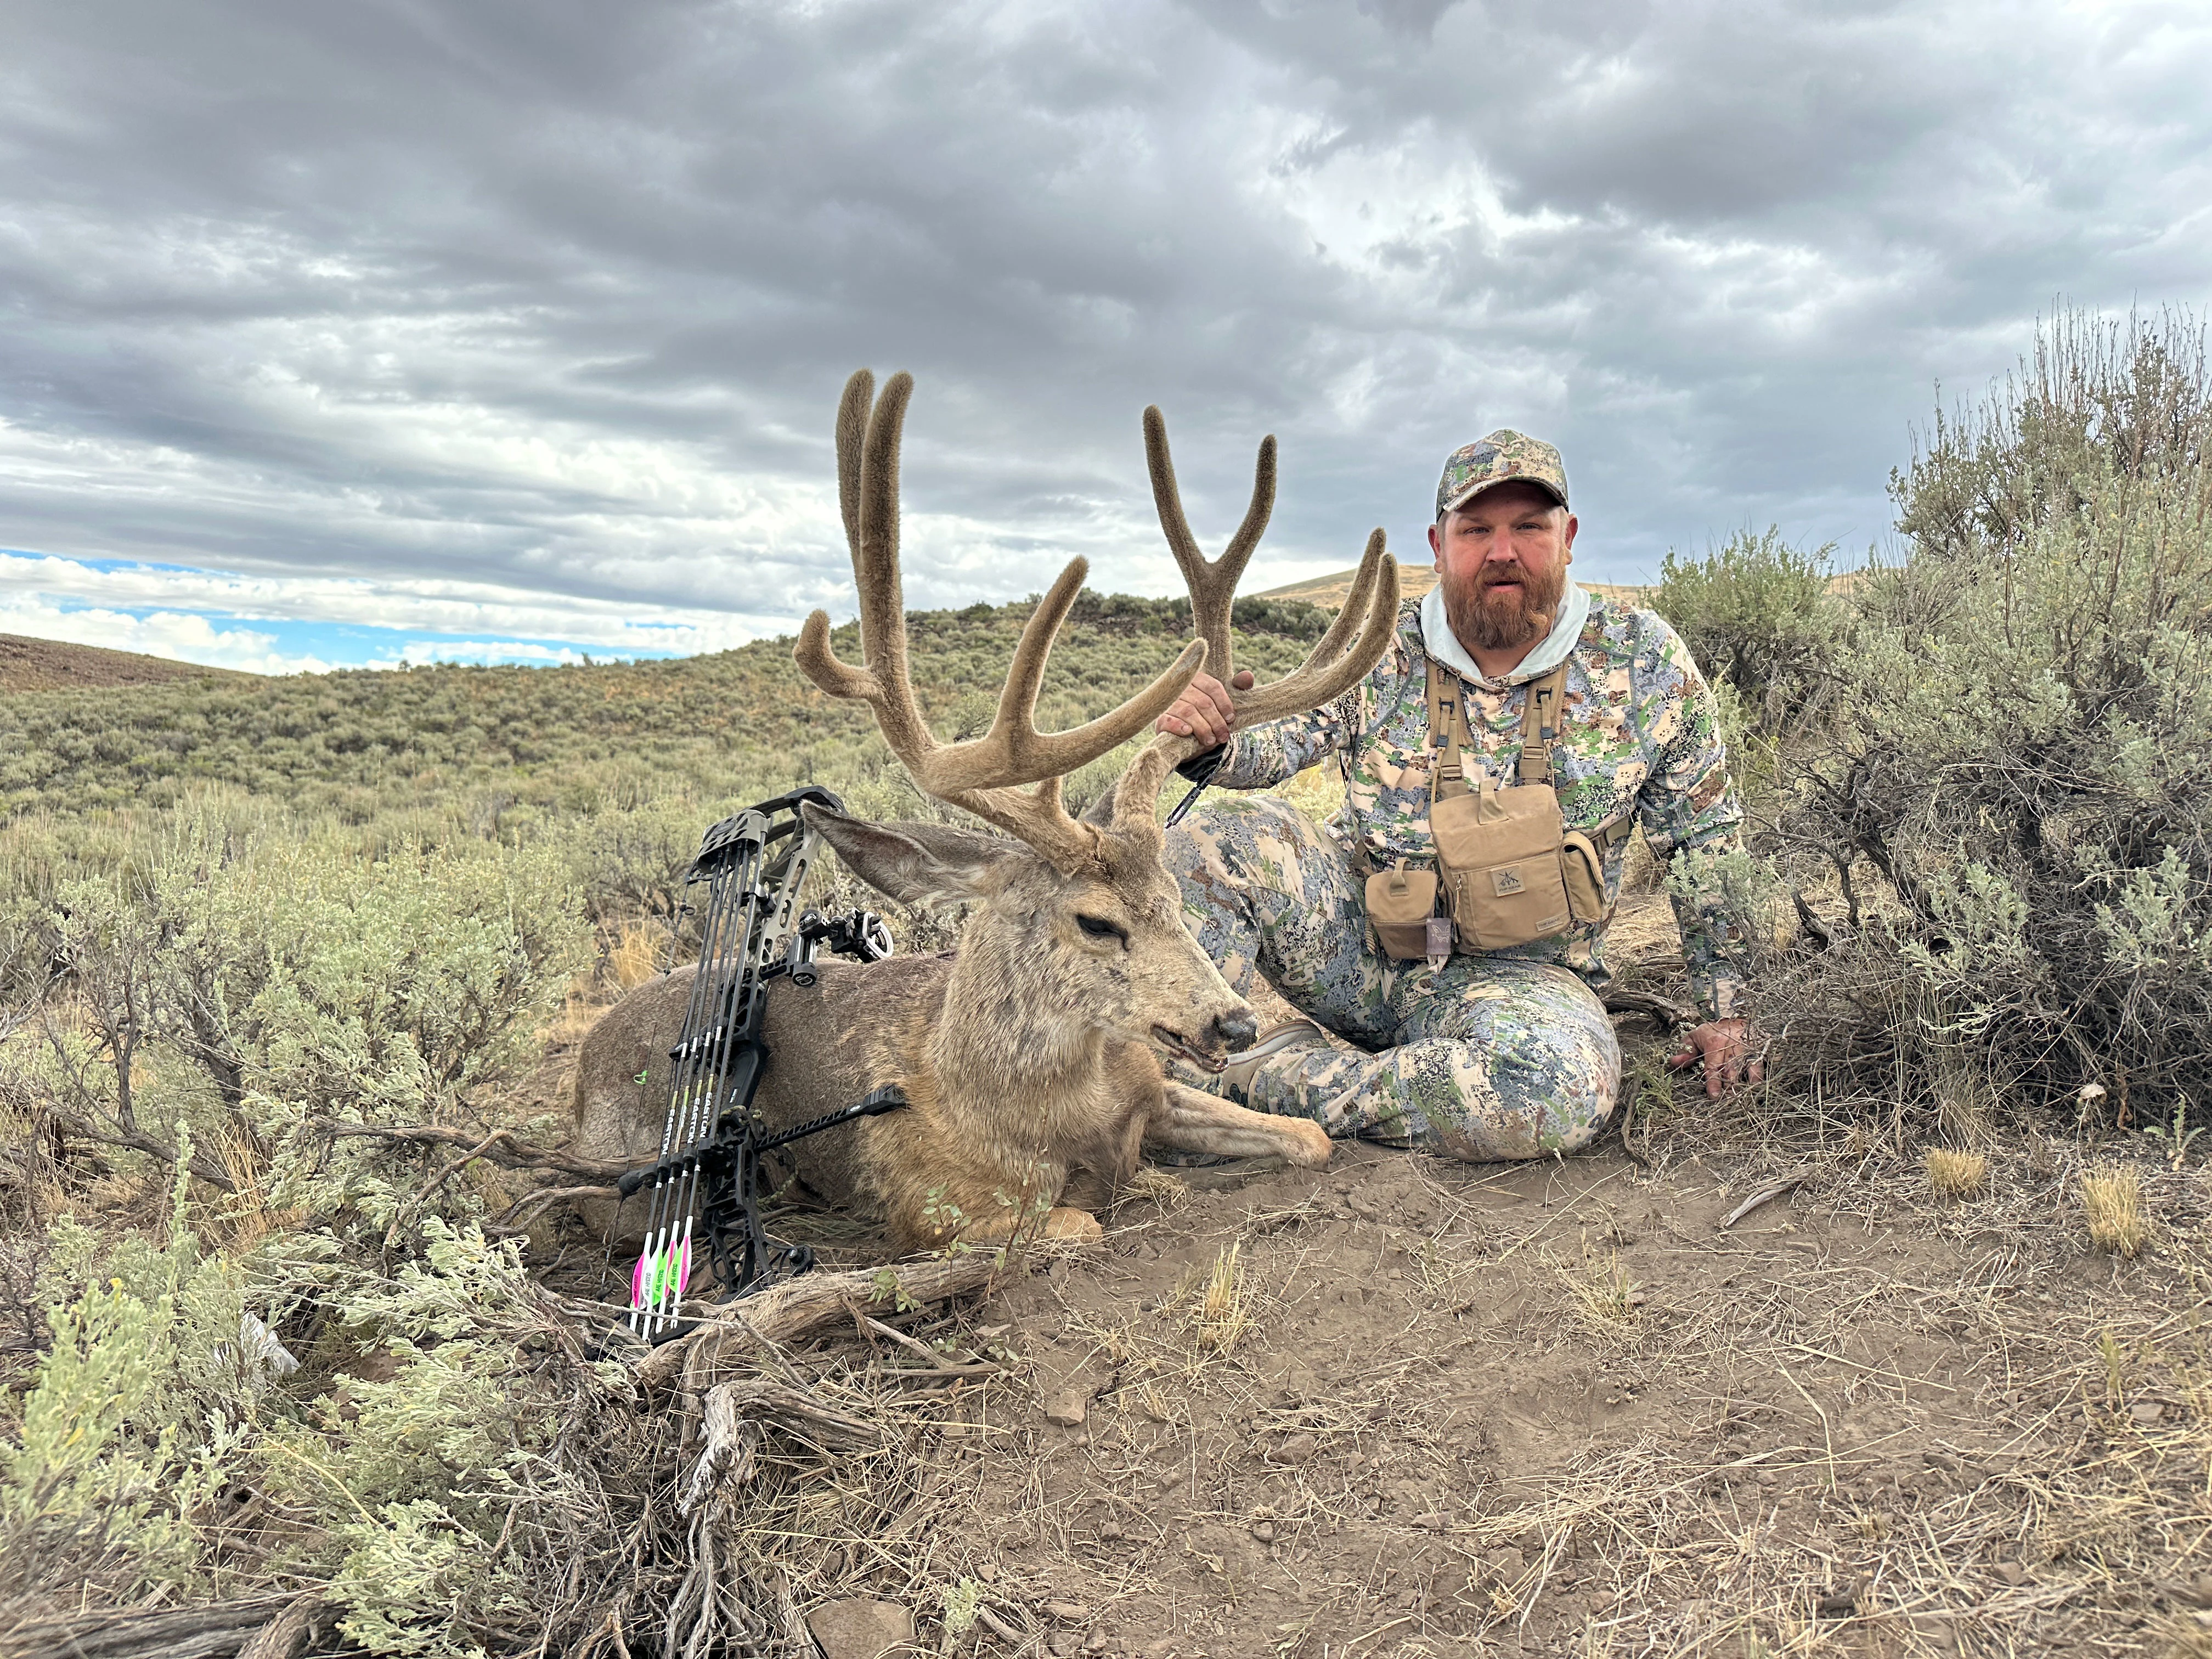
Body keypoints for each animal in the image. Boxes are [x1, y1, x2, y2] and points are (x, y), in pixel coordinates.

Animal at [571, 367, 1398, 1248]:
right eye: (1096, 921)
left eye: (1178, 898)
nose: (1233, 1025)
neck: (1032, 1102)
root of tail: (584, 1064)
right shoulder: (934, 1204)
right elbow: (1084, 1221)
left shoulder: (1159, 1089)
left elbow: (1311, 1137)